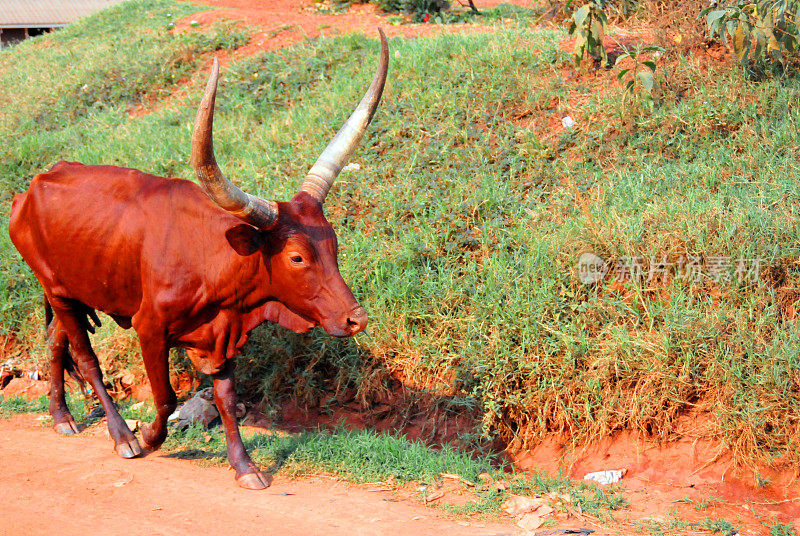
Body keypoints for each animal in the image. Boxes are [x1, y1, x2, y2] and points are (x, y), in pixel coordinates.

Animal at [9, 29, 390, 490]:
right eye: (297, 257)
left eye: (334, 245)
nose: (356, 319)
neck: (211, 259)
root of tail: (30, 189)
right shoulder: (150, 328)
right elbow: (166, 396)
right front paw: (150, 437)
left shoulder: (223, 332)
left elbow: (225, 399)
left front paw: (245, 467)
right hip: (57, 289)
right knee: (86, 359)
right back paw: (121, 436)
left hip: (70, 289)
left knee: (56, 341)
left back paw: (62, 416)